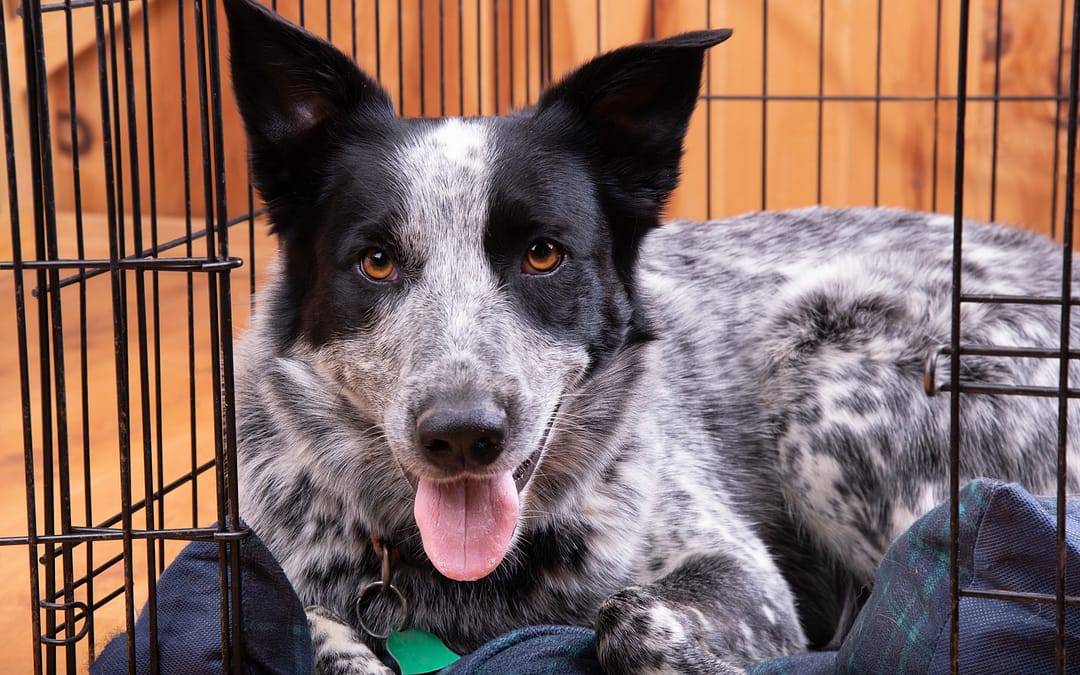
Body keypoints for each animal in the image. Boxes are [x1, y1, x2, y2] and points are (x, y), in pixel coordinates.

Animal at [221, 1, 1080, 669]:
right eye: (376, 261)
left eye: (543, 253)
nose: (462, 433)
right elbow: (305, 628)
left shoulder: (747, 581)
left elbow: (628, 617)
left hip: (824, 368)